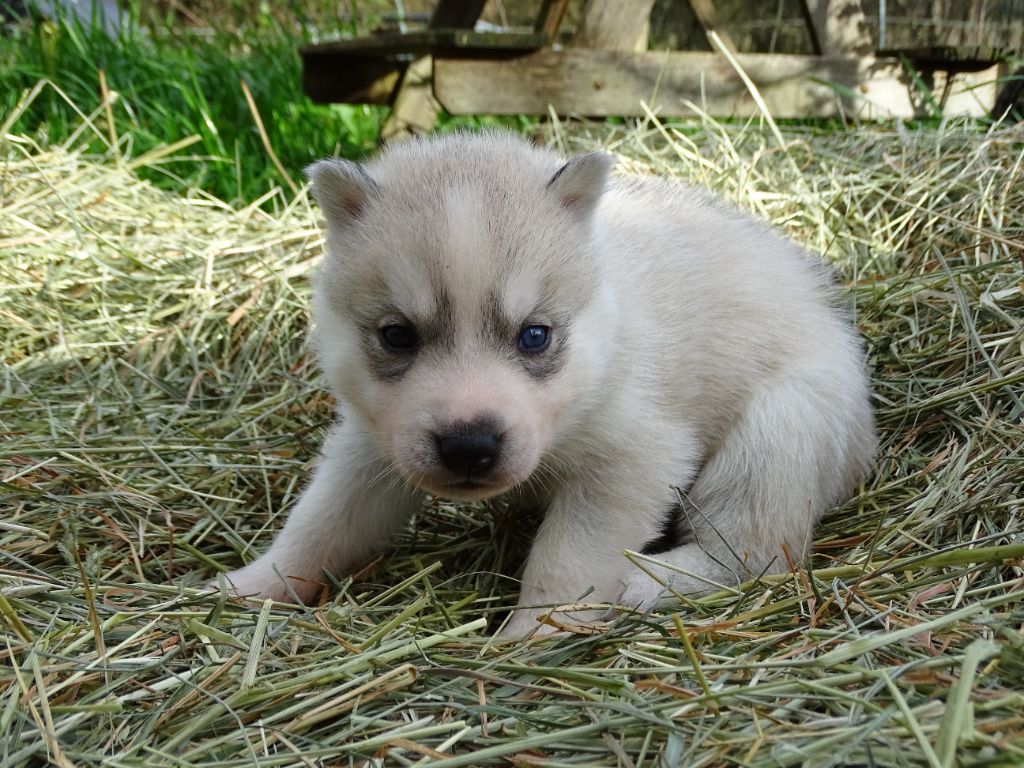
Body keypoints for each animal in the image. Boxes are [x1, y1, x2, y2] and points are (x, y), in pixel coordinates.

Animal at [211, 132, 876, 636]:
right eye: (397, 335)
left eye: (534, 335)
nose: (469, 447)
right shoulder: (369, 449)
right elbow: (320, 523)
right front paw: (245, 586)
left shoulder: (631, 459)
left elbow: (566, 560)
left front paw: (530, 634)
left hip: (777, 433)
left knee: (752, 552)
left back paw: (646, 583)